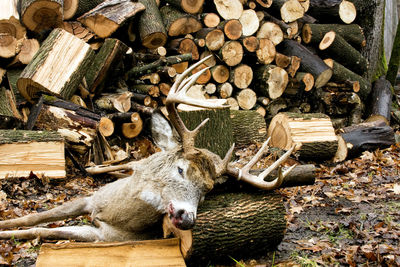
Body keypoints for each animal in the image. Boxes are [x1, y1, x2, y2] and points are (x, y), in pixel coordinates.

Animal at [0, 56, 294, 243]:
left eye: (206, 192)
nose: (187, 218)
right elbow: (34, 220)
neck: (112, 214)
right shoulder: (90, 199)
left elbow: (44, 231)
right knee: (123, 164)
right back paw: (96, 167)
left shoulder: (106, 237)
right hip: (136, 163)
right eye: (181, 170)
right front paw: (5, 227)